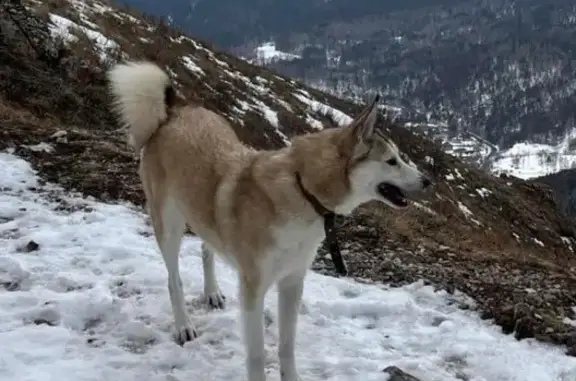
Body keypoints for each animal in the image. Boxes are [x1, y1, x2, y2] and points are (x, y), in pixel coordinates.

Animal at [108, 60, 432, 380]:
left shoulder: (292, 282)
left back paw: (211, 293)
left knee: (206, 248)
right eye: (391, 161)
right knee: (173, 280)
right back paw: (184, 325)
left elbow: (287, 345)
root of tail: (172, 112)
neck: (304, 192)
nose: (427, 181)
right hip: (168, 225)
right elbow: (257, 354)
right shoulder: (253, 289)